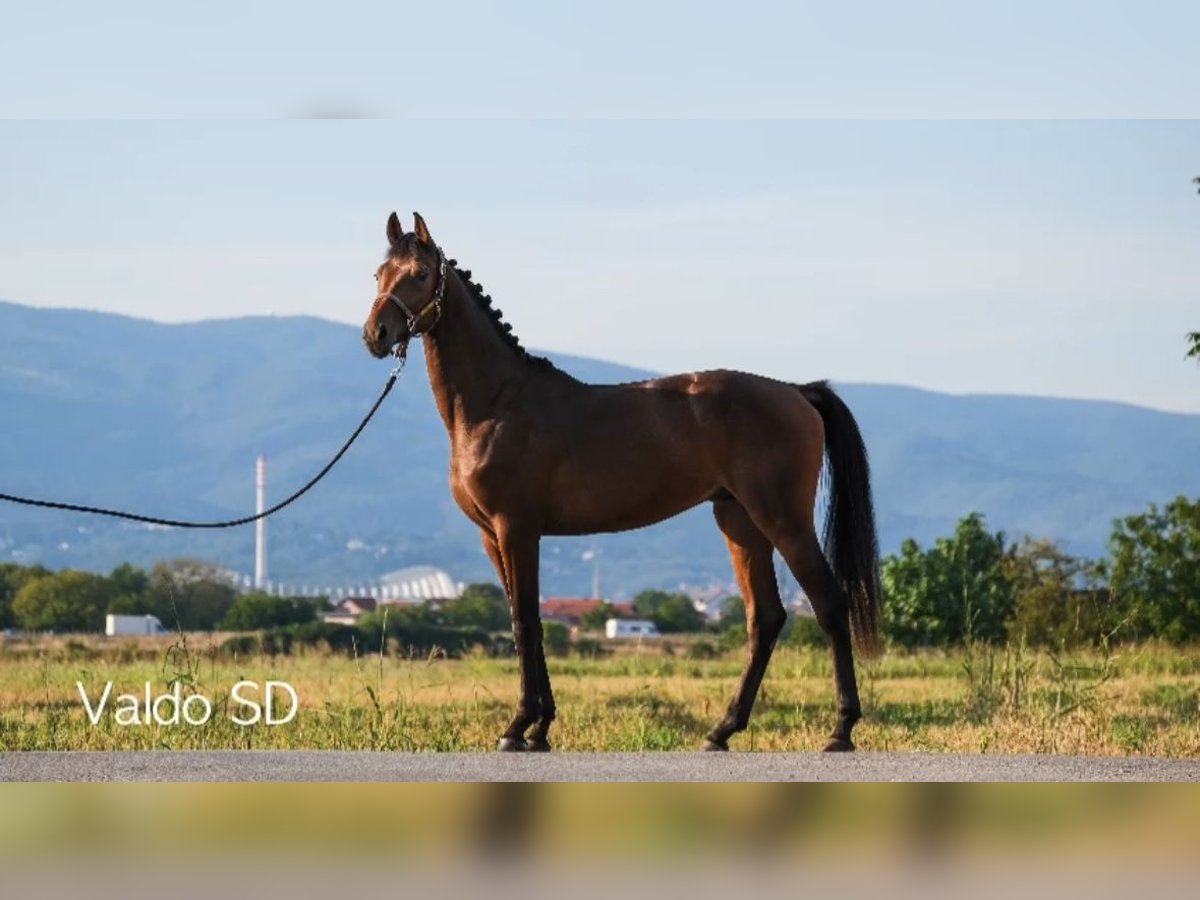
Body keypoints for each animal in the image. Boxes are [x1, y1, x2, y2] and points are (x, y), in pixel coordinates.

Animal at [357, 211, 883, 753]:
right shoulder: (491, 536)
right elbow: (529, 621)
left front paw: (518, 726)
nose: (376, 334)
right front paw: (541, 727)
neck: (496, 404)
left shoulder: (516, 529)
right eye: (379, 274)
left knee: (828, 603)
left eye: (420, 274)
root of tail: (797, 392)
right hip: (739, 522)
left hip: (783, 519)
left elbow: (525, 623)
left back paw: (841, 729)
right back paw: (722, 730)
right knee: (766, 618)